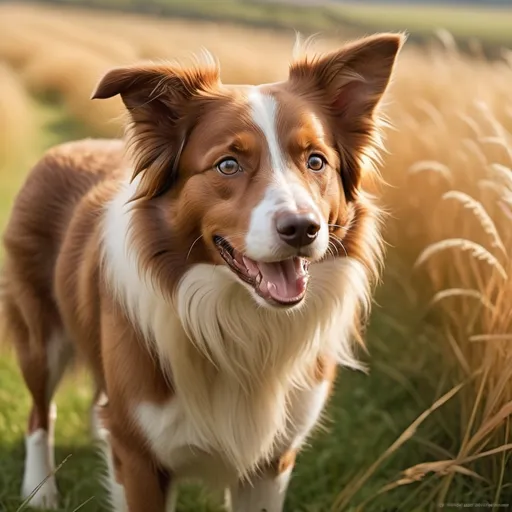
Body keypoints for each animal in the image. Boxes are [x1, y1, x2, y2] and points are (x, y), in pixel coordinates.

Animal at [3, 34, 404, 510]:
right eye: (228, 164)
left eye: (316, 161)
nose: (302, 228)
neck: (239, 323)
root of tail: (65, 148)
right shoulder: (140, 458)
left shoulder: (271, 462)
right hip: (39, 338)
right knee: (39, 413)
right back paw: (39, 490)